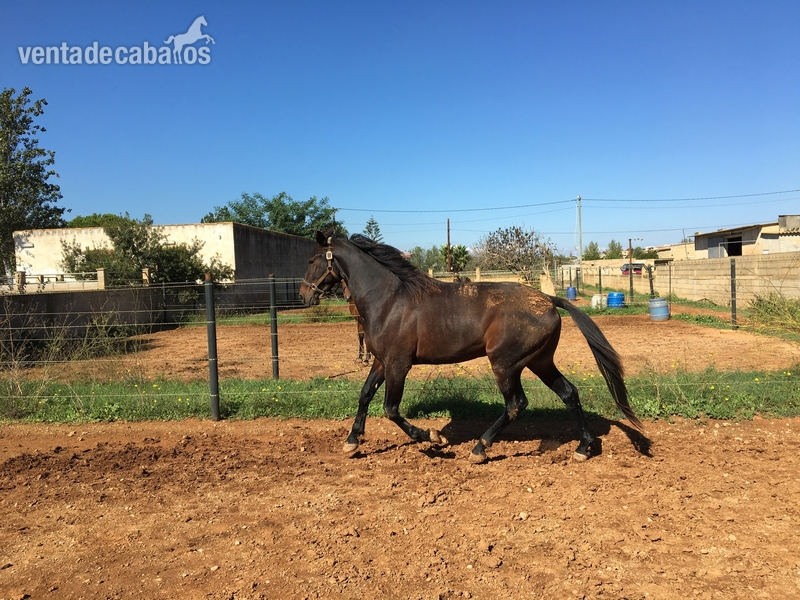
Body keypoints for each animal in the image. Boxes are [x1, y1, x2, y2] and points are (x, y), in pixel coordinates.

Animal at [300, 231, 642, 464]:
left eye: (313, 260)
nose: (304, 295)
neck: (389, 300)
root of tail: (548, 299)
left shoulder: (398, 364)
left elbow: (391, 409)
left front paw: (432, 437)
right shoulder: (381, 361)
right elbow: (364, 395)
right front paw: (351, 441)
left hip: (506, 364)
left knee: (516, 404)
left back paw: (480, 448)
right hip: (539, 361)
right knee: (569, 393)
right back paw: (583, 447)